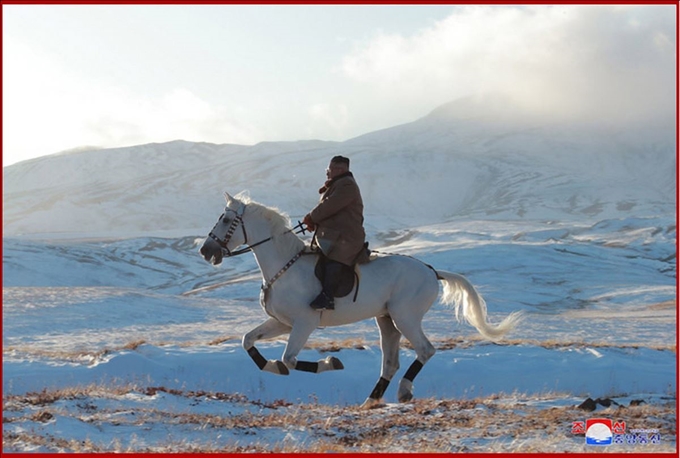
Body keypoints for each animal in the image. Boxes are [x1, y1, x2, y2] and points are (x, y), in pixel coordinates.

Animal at [199, 191, 524, 406]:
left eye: (225, 219)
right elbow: (248, 341)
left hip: (405, 317)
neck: (284, 265)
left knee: (425, 350)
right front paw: (273, 367)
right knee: (390, 362)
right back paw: (371, 401)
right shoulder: (282, 322)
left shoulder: (304, 323)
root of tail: (431, 271)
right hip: (386, 320)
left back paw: (404, 391)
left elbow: (289, 359)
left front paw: (331, 362)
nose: (205, 251)